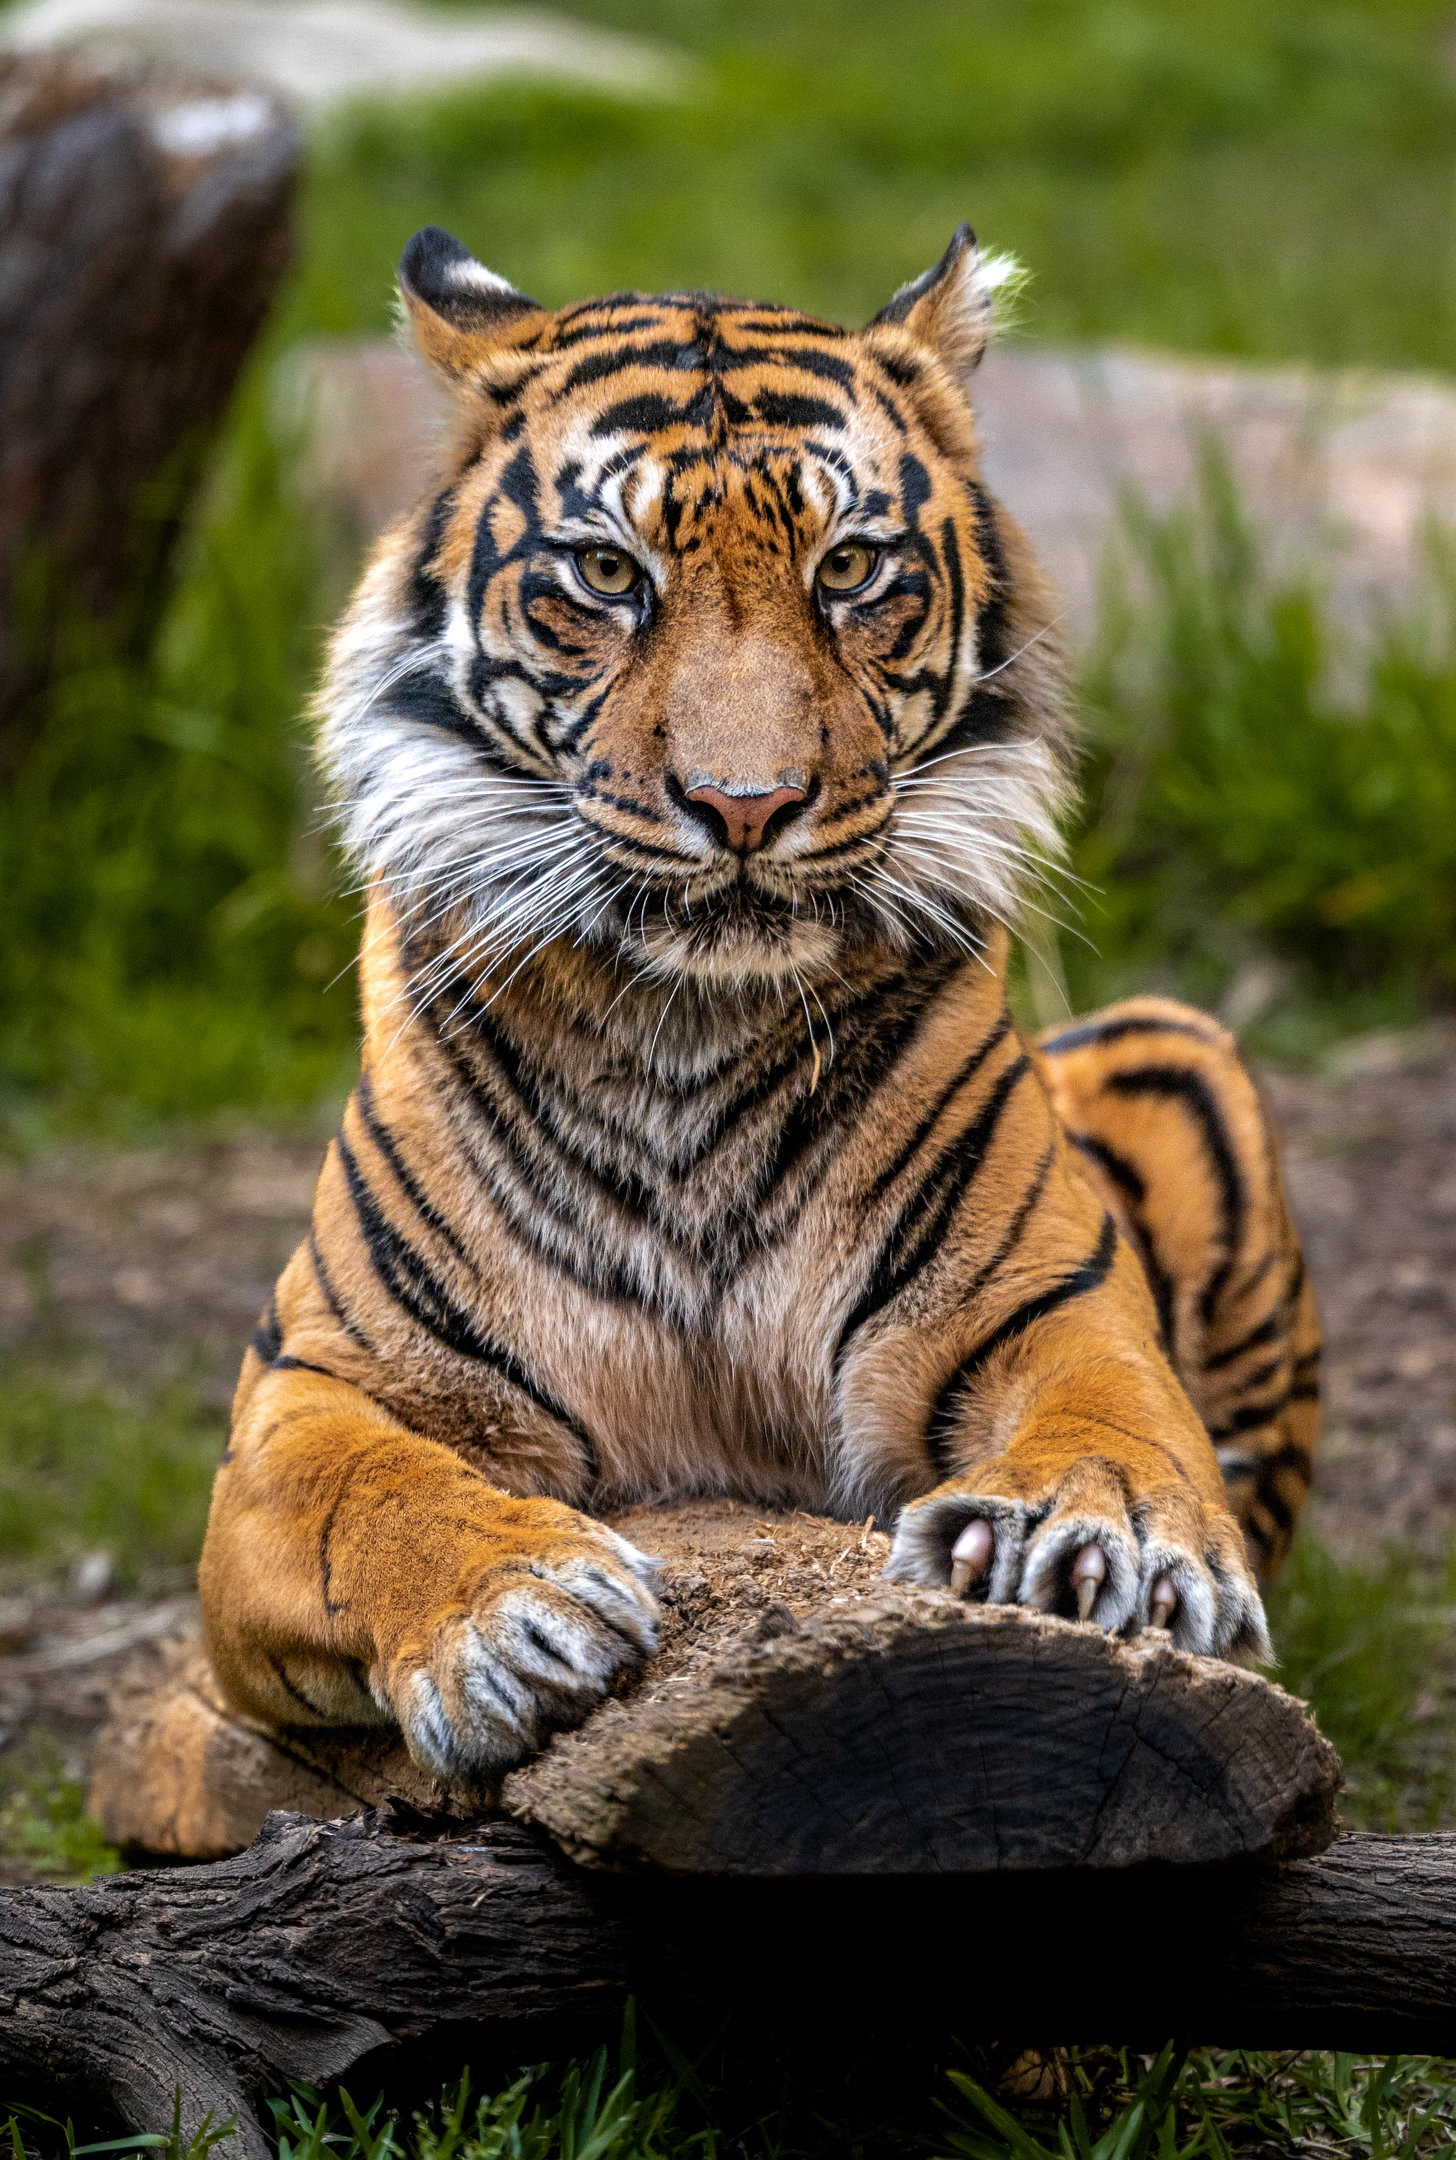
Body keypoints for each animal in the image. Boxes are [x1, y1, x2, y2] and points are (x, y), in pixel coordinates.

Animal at [198, 223, 1321, 1780]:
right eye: (606, 573)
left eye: (847, 566)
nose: (745, 804)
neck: (688, 1031)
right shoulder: (313, 1384)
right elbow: (365, 1493)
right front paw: (516, 1612)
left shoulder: (1049, 1302)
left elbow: (1113, 1416)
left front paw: (1109, 1540)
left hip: (1178, 1043)